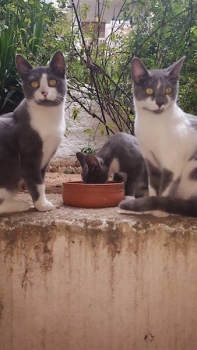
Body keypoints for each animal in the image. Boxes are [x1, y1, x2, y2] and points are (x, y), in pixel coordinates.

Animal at [0, 49, 66, 213]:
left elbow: (41, 179)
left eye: (52, 82)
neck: (48, 118)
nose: (44, 92)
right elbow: (37, 182)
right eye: (34, 84)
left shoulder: (46, 157)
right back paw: (19, 204)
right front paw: (42, 204)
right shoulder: (29, 155)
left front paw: (39, 203)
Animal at [118, 55, 197, 216]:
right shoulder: (150, 158)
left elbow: (165, 187)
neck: (153, 124)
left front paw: (159, 210)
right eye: (149, 90)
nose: (160, 102)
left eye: (168, 90)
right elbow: (154, 184)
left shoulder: (172, 162)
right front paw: (151, 207)